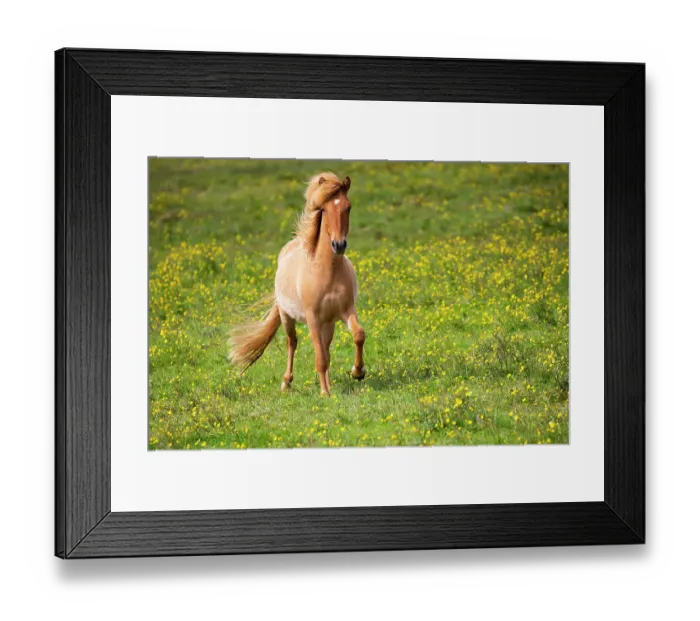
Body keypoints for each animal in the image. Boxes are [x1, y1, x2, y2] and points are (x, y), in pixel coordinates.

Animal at [229, 172, 366, 396]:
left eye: (348, 207)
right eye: (324, 209)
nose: (339, 245)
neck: (326, 272)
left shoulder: (345, 311)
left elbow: (358, 335)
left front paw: (358, 372)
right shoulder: (312, 318)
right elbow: (319, 357)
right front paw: (325, 393)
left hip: (328, 322)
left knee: (326, 347)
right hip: (287, 316)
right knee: (292, 343)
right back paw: (287, 382)